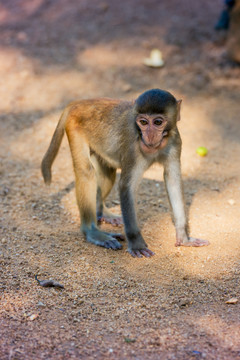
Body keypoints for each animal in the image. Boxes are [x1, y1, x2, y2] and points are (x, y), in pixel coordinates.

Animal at [42, 90, 209, 258]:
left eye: (157, 122)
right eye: (143, 122)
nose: (149, 135)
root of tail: (80, 103)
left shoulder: (175, 141)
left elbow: (173, 181)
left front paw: (184, 237)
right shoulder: (132, 147)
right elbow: (126, 187)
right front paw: (136, 244)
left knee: (108, 174)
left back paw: (102, 213)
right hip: (74, 127)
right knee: (86, 173)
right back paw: (92, 232)